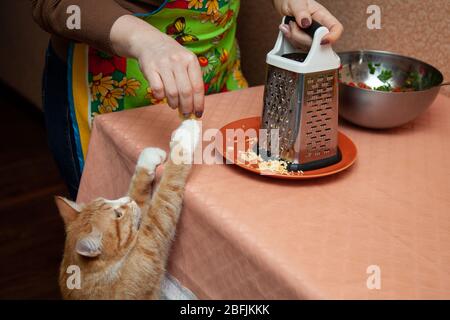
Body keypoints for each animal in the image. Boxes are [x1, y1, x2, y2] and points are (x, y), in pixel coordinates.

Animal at [54, 120, 199, 300]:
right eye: (118, 215)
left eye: (106, 198)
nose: (127, 200)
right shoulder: (150, 241)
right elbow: (166, 191)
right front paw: (186, 133)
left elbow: (138, 187)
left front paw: (148, 157)